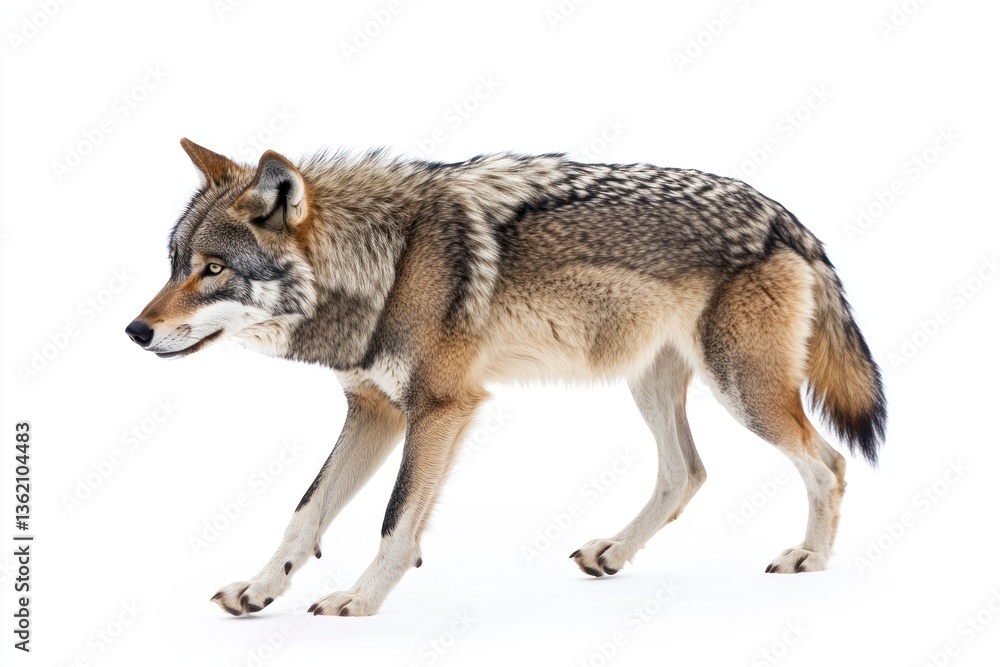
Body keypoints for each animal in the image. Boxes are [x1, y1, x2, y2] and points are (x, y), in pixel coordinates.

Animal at [126, 139, 886, 617]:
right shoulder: (374, 411)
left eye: (213, 269)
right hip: (650, 385)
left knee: (829, 462)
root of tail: (783, 215)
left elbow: (395, 520)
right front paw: (259, 591)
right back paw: (613, 553)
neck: (388, 264)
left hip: (743, 392)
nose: (135, 331)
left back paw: (809, 559)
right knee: (686, 473)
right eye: (174, 264)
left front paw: (360, 600)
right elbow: (303, 514)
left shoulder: (441, 407)